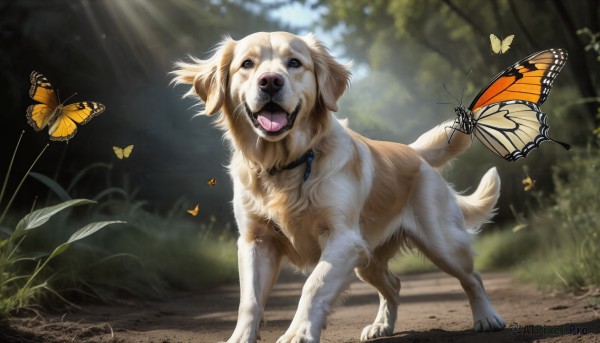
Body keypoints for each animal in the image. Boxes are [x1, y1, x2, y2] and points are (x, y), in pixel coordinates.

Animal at [173, 30, 506, 342]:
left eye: (295, 63)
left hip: (441, 242)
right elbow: (250, 301)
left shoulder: (343, 239)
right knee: (394, 284)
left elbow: (313, 286)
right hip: (368, 260)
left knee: (472, 277)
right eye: (247, 64)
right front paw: (241, 337)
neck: (287, 163)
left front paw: (298, 333)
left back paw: (487, 317)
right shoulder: (257, 241)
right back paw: (381, 326)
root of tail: (414, 151)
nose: (270, 82)